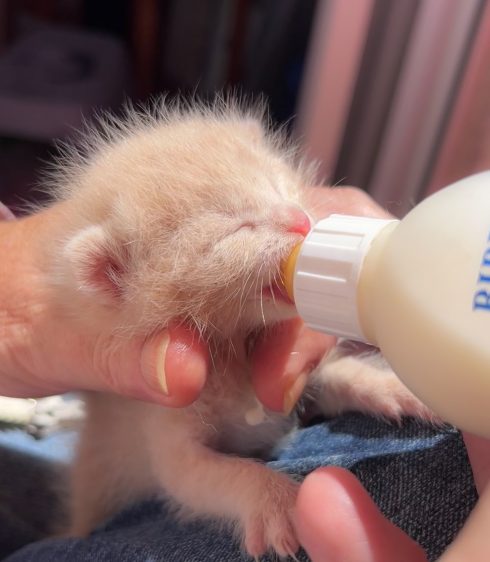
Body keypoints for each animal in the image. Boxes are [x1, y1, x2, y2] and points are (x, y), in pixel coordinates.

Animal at [43, 99, 432, 556]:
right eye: (235, 228)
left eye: (278, 186)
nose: (300, 220)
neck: (232, 348)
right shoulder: (162, 427)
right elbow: (213, 475)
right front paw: (278, 501)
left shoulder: (290, 384)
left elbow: (339, 375)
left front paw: (391, 386)